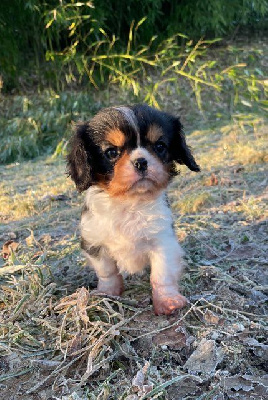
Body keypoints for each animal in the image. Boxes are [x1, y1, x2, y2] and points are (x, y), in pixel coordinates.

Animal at [68, 105, 200, 316]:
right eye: (111, 152)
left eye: (160, 146)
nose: (141, 162)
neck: (129, 203)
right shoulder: (94, 243)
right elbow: (107, 272)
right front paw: (108, 292)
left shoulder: (163, 242)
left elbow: (161, 276)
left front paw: (167, 301)